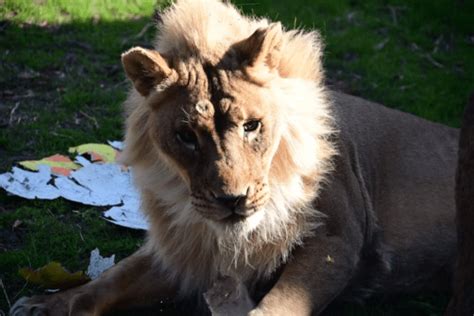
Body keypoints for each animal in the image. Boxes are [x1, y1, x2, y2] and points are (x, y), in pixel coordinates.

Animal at [11, 0, 460, 316]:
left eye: (252, 126)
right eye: (186, 136)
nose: (233, 201)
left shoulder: (337, 238)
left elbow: (281, 306)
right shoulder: (186, 249)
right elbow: (113, 278)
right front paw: (46, 304)